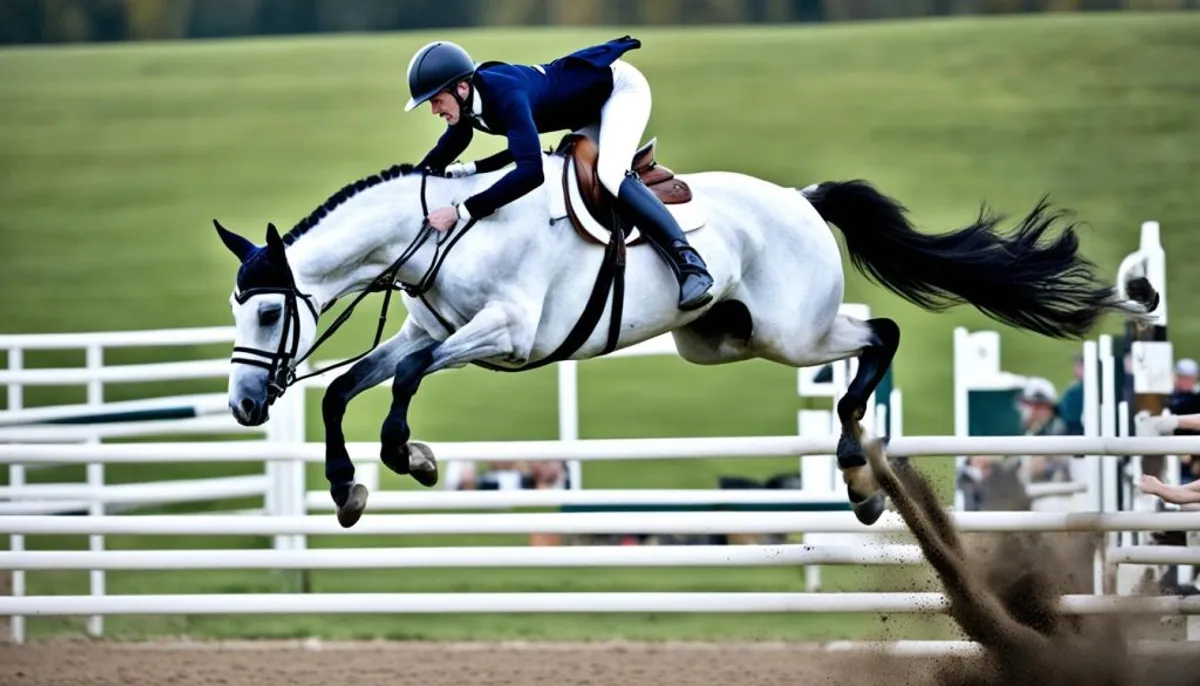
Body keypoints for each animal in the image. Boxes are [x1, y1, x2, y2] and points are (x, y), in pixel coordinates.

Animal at [211, 136, 1156, 527]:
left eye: (269, 309)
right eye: (236, 309)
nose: (247, 404)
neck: (445, 231)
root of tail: (802, 198)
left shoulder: (504, 335)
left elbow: (404, 387)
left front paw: (411, 457)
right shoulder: (424, 332)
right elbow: (346, 388)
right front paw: (348, 491)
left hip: (792, 333)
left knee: (879, 335)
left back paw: (857, 471)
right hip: (731, 337)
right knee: (868, 335)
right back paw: (859, 476)